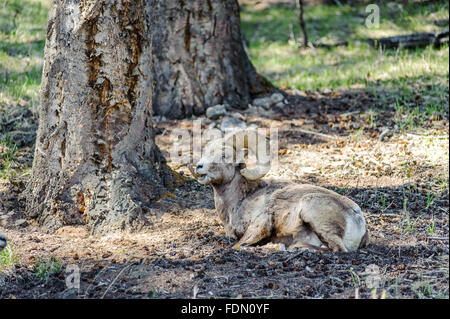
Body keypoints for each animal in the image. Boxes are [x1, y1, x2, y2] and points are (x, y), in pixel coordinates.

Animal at [190, 130, 370, 252]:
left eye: (224, 155)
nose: (199, 166)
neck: (240, 201)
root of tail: (358, 220)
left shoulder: (260, 225)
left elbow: (238, 245)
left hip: (313, 211)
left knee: (336, 249)